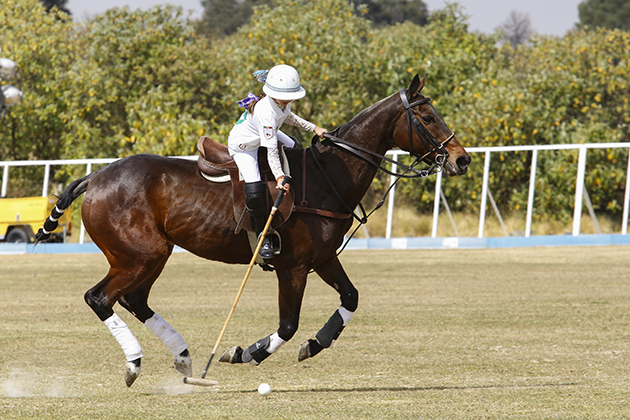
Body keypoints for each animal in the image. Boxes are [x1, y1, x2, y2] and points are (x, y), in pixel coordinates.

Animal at [37, 74, 472, 388]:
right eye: (428, 117)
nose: (462, 159)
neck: (327, 176)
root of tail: (95, 178)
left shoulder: (322, 258)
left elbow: (350, 297)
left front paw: (315, 343)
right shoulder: (293, 267)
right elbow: (288, 325)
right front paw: (246, 352)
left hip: (152, 254)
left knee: (134, 300)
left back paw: (184, 356)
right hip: (139, 254)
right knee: (100, 298)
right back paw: (135, 363)